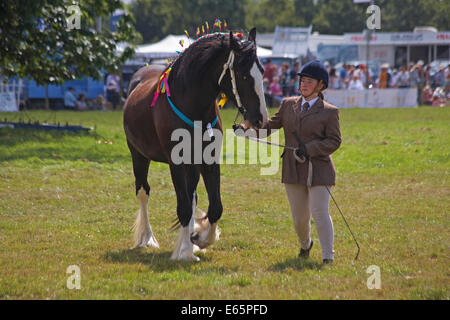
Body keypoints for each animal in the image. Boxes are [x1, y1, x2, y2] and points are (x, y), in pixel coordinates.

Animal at [123, 28, 268, 262]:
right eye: (243, 74)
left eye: (262, 71)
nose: (260, 119)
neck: (191, 106)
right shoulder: (176, 163)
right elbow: (183, 207)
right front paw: (186, 252)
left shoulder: (208, 161)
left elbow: (214, 207)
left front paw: (200, 238)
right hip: (139, 155)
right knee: (143, 192)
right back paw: (148, 238)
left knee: (191, 197)